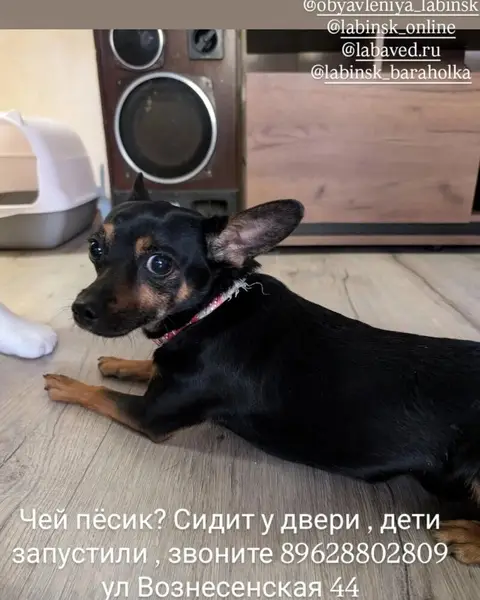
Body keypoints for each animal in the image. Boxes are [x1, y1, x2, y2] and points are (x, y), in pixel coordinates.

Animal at [44, 173, 480, 565]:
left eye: (160, 263)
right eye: (95, 248)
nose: (80, 310)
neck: (210, 309)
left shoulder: (150, 414)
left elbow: (102, 395)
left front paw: (65, 383)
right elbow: (149, 364)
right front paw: (119, 363)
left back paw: (468, 539)